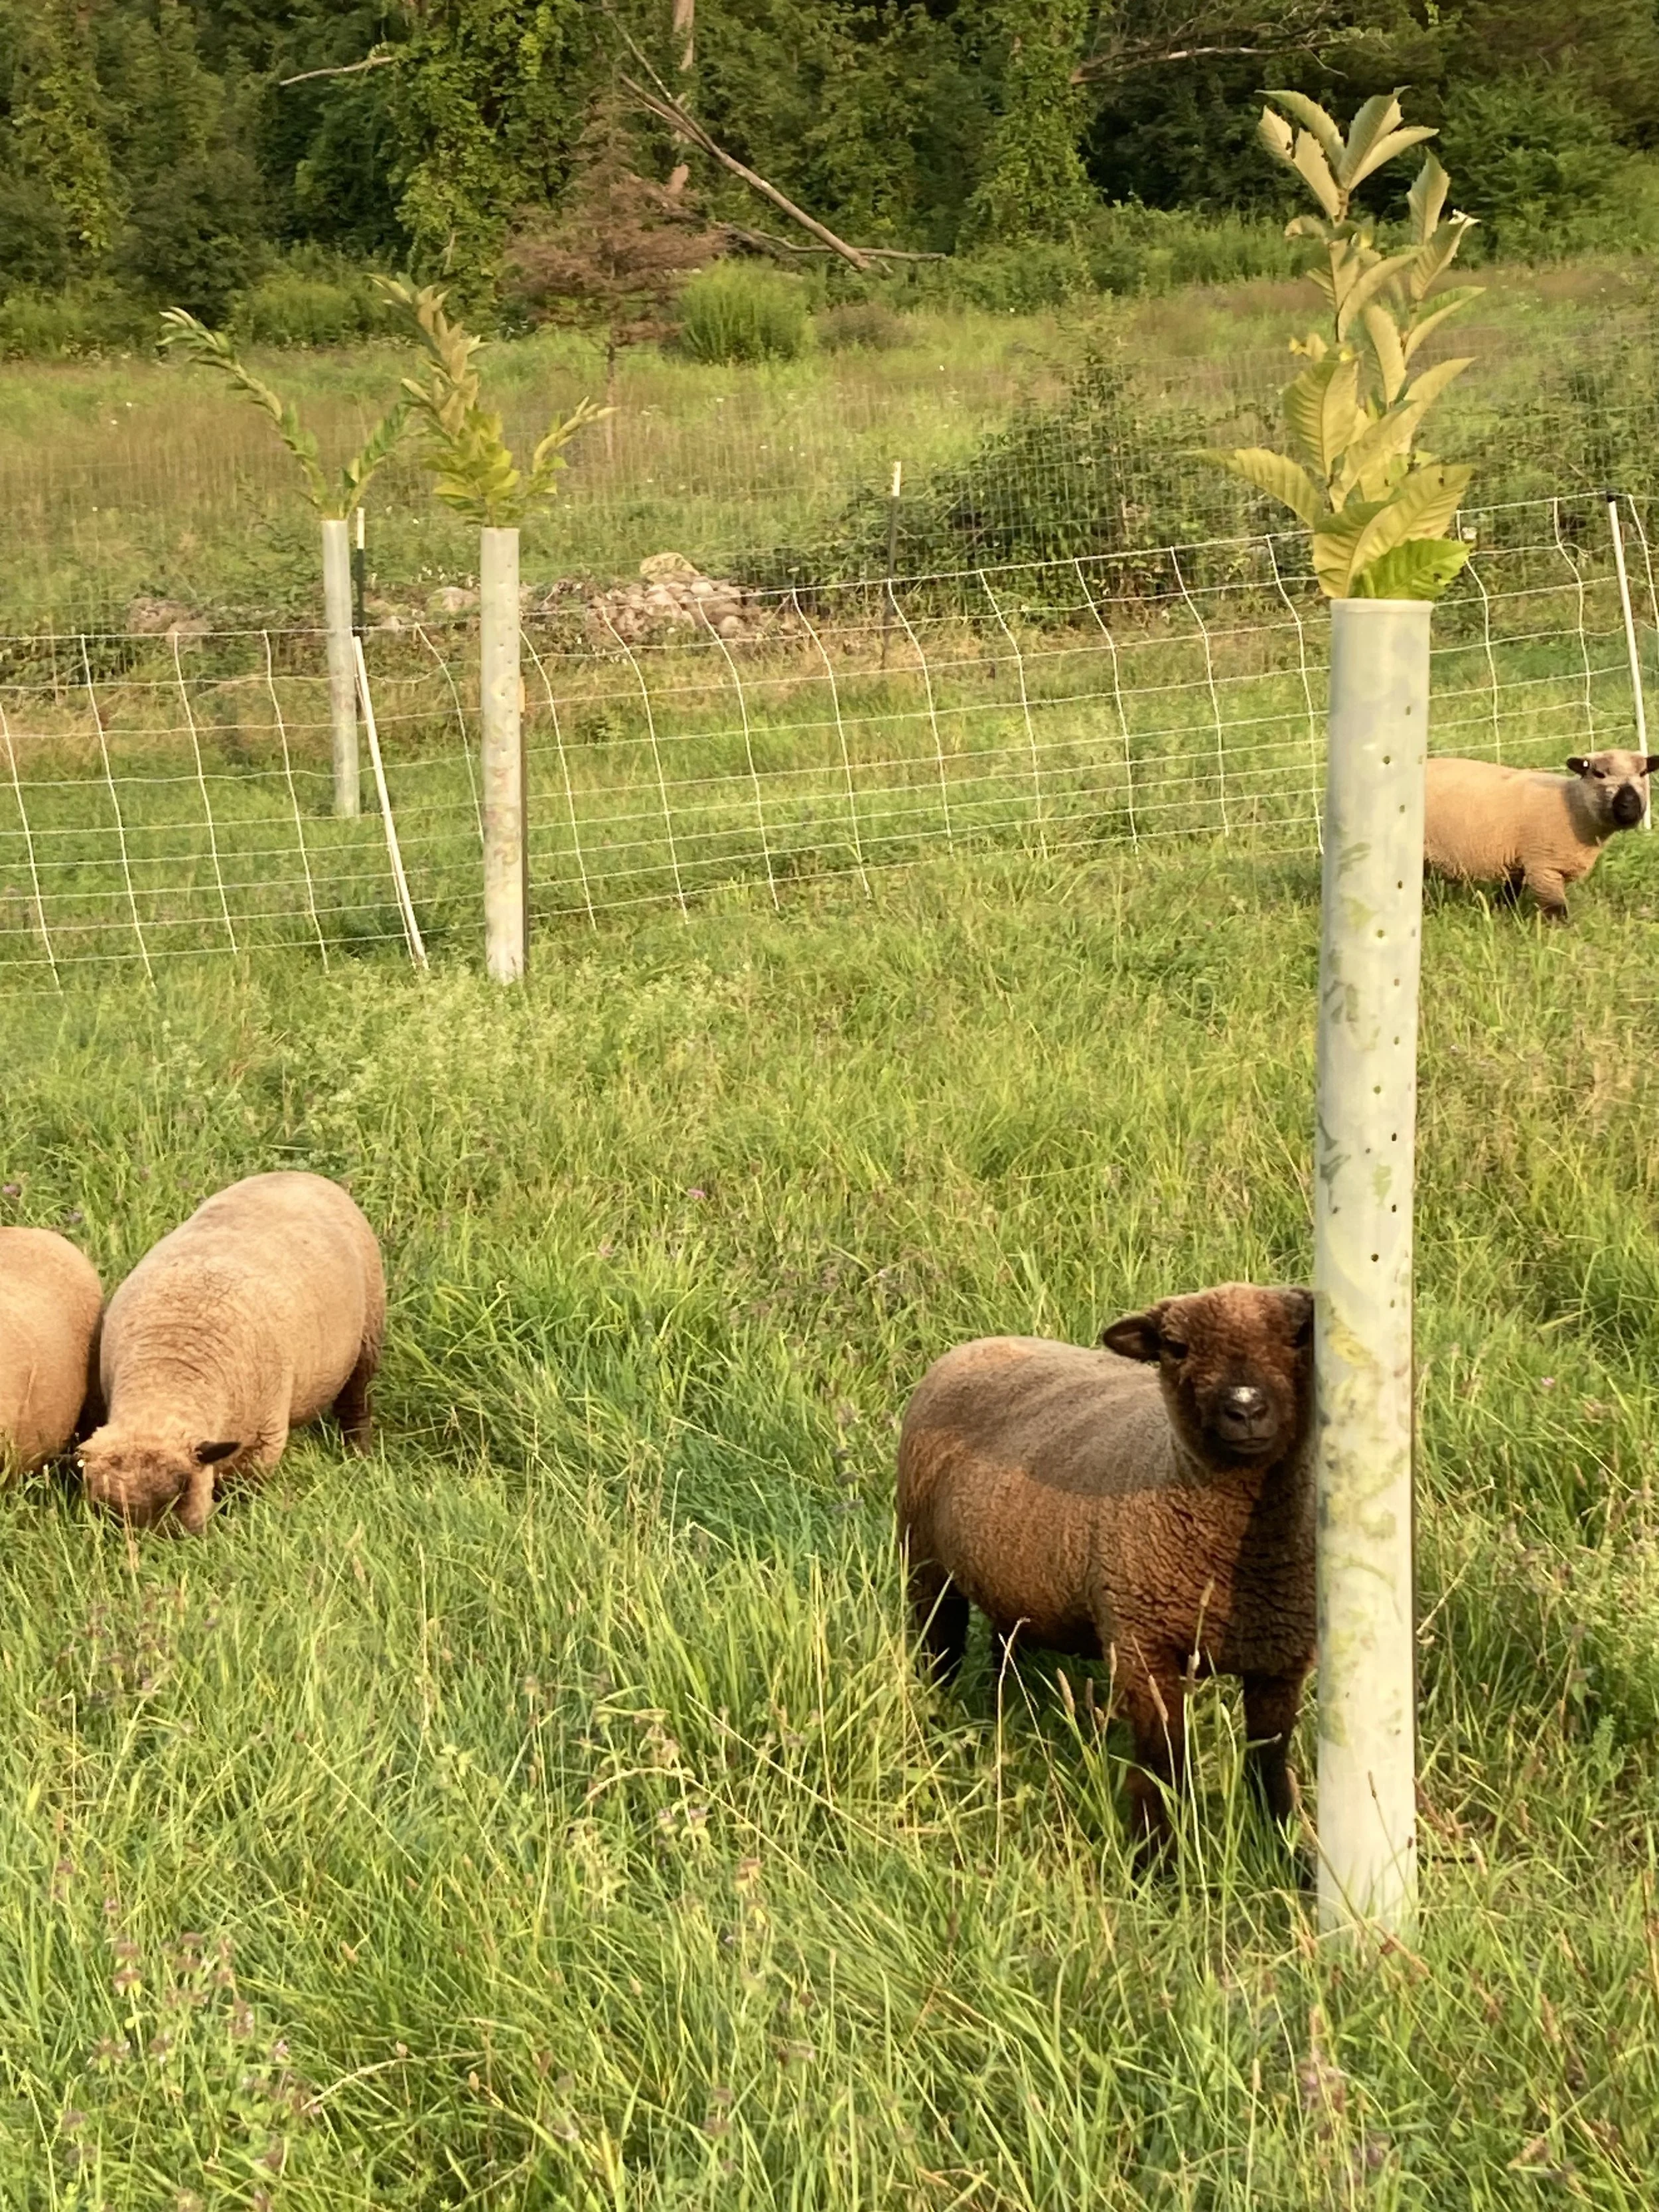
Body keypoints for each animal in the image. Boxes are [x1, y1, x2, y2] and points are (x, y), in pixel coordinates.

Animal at [80, 1171, 384, 1534]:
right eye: (105, 1506)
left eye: (183, 1488)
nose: (153, 1544)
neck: (170, 1366)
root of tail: (302, 1175)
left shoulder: (263, 1444)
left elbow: (243, 1490)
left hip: (368, 1334)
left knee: (356, 1403)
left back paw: (358, 1454)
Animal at [896, 1283, 1315, 1859]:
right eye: (1177, 1347)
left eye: (1298, 1336)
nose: (1246, 1407)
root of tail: (975, 1345)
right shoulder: (1143, 1648)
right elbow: (1163, 1764)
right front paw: (1158, 1858)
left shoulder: (1281, 1658)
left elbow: (1271, 1767)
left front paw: (1287, 1854)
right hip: (925, 1564)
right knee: (937, 1651)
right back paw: (935, 1721)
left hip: (1015, 1580)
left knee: (1004, 1646)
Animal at [1423, 749, 1658, 922]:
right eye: (1599, 774)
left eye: (1643, 773)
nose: (1629, 807)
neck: (1573, 805)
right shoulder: (1545, 867)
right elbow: (1556, 911)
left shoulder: (1518, 861)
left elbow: (1509, 894)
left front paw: (1502, 915)